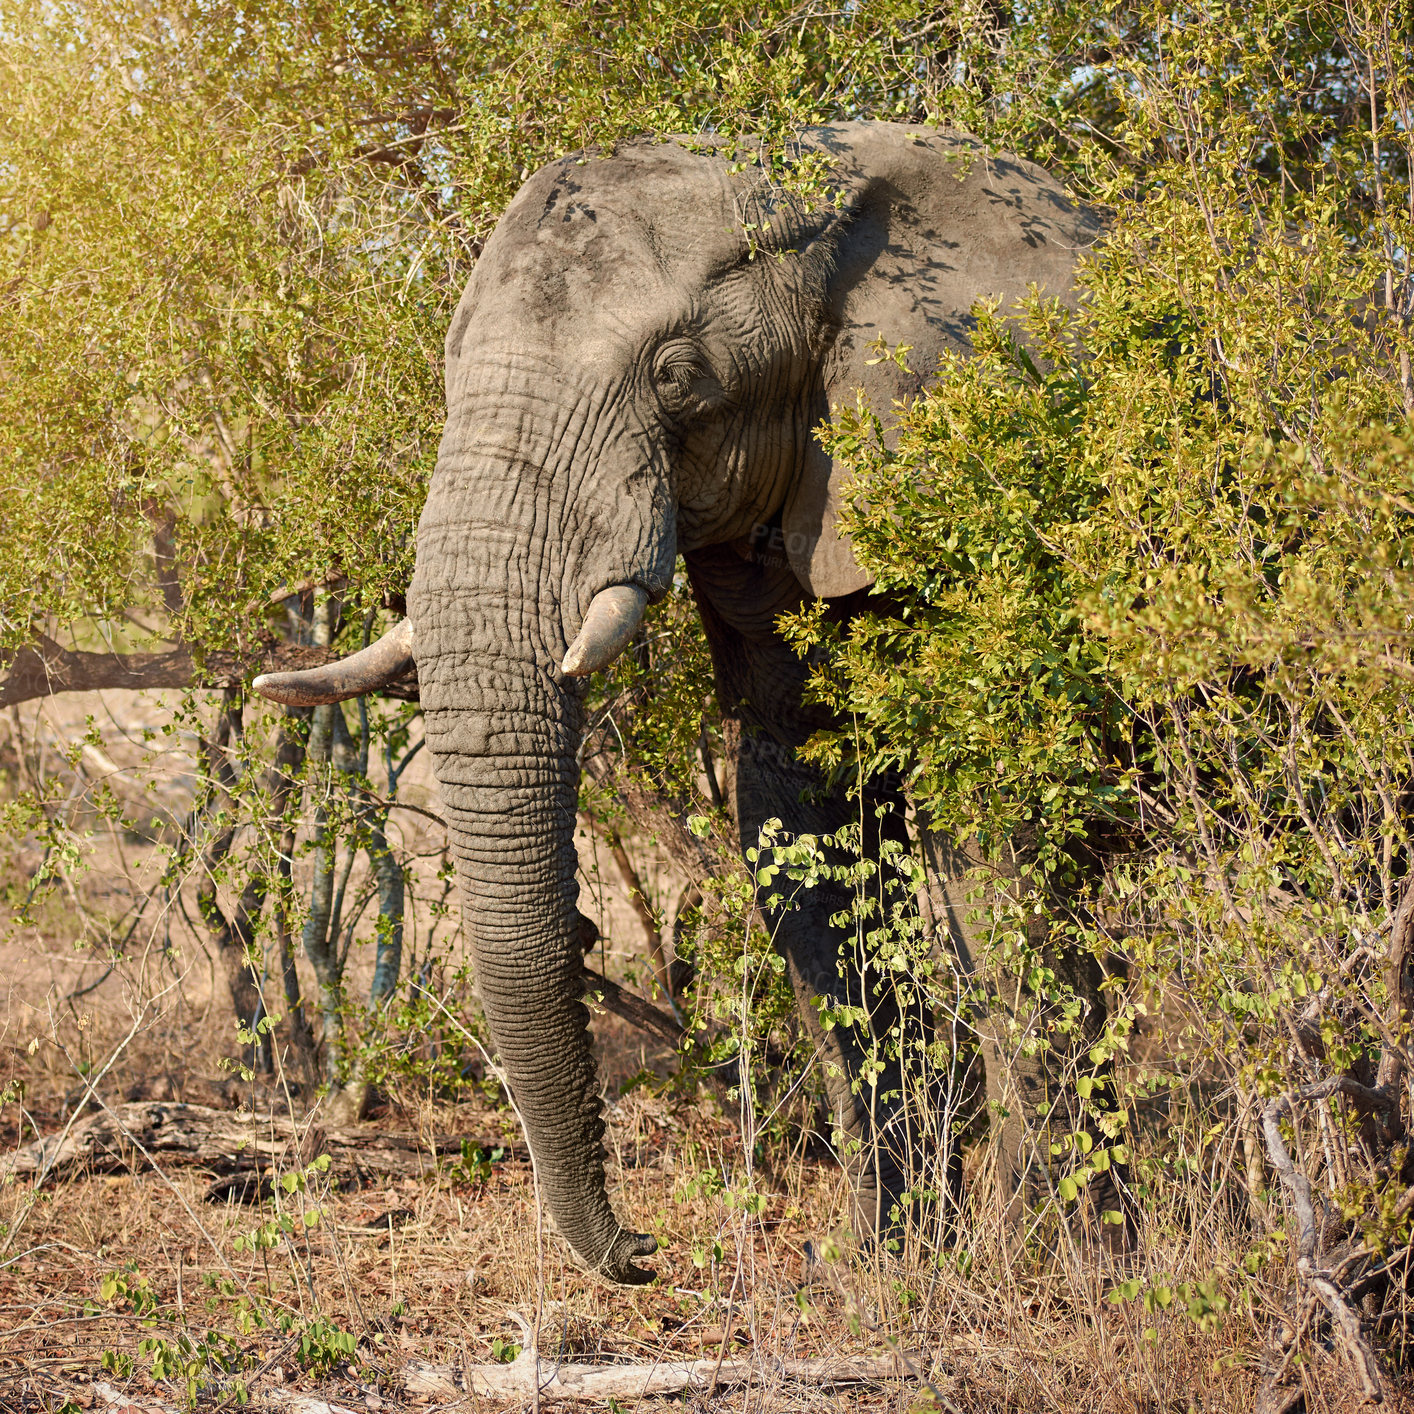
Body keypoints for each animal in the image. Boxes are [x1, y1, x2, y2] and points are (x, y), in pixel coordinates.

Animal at [254, 127, 1097, 1289]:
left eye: (675, 377)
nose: (645, 1250)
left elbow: (999, 827)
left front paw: (1050, 1271)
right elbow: (797, 814)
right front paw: (885, 1265)